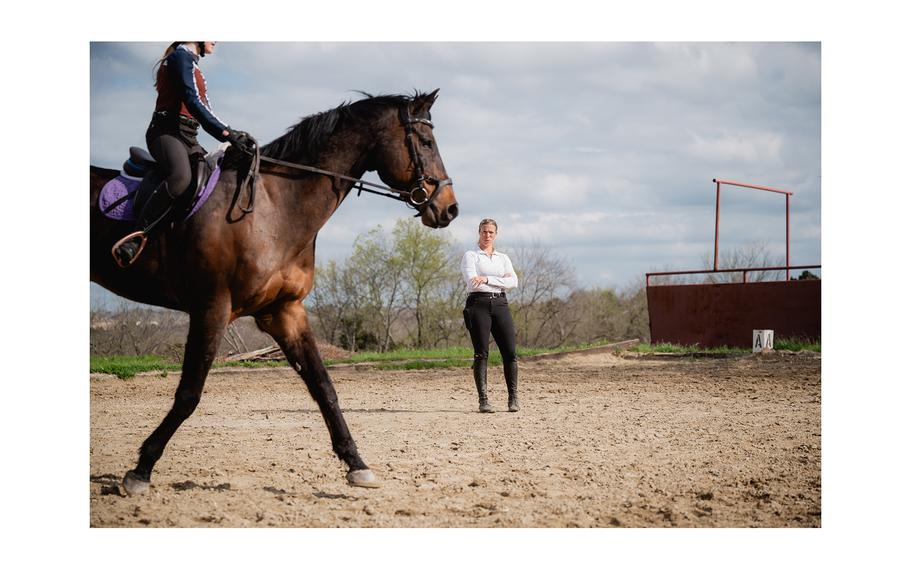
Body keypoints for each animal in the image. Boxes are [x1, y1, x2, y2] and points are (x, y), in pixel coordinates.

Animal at [90, 89, 460, 492]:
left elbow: (324, 386)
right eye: (426, 142)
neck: (276, 207)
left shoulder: (284, 310)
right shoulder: (212, 308)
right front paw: (141, 468)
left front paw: (356, 464)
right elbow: (189, 394)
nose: (450, 209)